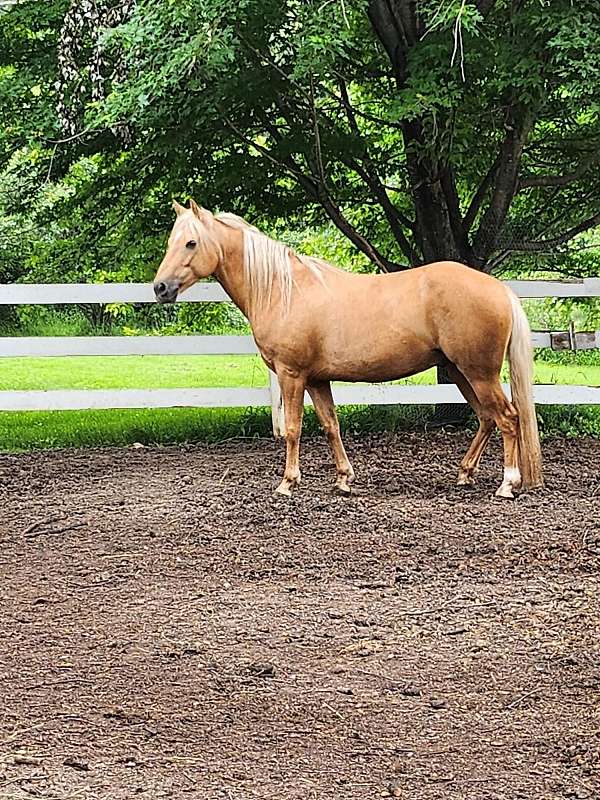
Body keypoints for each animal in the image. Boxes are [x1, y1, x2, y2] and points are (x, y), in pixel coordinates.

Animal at [152, 200, 540, 496]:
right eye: (171, 241)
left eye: (190, 243)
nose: (160, 288)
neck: (283, 290)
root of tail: (498, 288)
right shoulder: (316, 380)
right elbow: (330, 426)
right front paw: (343, 479)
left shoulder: (292, 376)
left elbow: (292, 428)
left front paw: (287, 483)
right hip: (460, 372)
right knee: (487, 418)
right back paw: (465, 473)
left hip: (479, 373)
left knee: (508, 418)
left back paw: (507, 484)